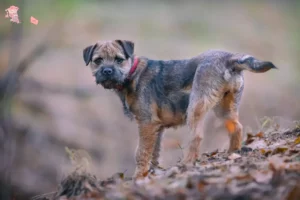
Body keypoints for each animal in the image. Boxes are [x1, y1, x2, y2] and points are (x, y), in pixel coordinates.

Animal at [81, 39, 276, 180]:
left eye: (119, 59)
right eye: (97, 60)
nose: (107, 71)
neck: (132, 74)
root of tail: (230, 59)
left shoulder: (146, 123)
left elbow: (141, 152)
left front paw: (138, 176)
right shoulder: (156, 128)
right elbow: (154, 152)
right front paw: (150, 172)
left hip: (196, 106)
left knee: (197, 136)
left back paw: (186, 164)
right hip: (225, 107)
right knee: (236, 127)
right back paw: (232, 153)